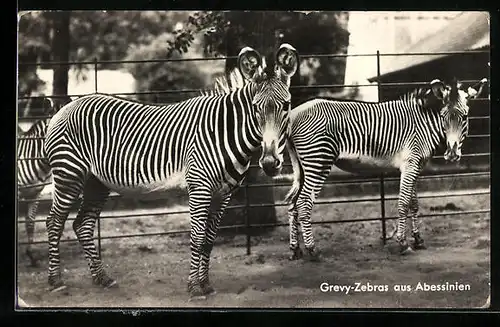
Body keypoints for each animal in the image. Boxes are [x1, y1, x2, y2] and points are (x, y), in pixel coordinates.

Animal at [43, 43, 298, 300]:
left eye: (286, 105)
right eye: (255, 108)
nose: (269, 163)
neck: (224, 132)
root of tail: (65, 108)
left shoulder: (223, 194)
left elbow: (209, 240)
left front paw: (206, 284)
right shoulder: (199, 188)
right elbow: (196, 238)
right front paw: (194, 288)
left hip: (96, 182)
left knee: (82, 225)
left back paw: (102, 278)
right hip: (69, 174)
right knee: (54, 221)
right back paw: (56, 281)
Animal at [284, 78, 486, 260]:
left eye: (465, 117)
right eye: (444, 117)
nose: (451, 154)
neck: (423, 124)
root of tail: (293, 114)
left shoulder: (416, 166)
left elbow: (414, 203)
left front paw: (418, 240)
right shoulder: (410, 164)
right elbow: (403, 203)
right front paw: (403, 244)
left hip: (302, 167)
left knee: (293, 203)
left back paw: (295, 250)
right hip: (319, 160)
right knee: (303, 203)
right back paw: (313, 251)